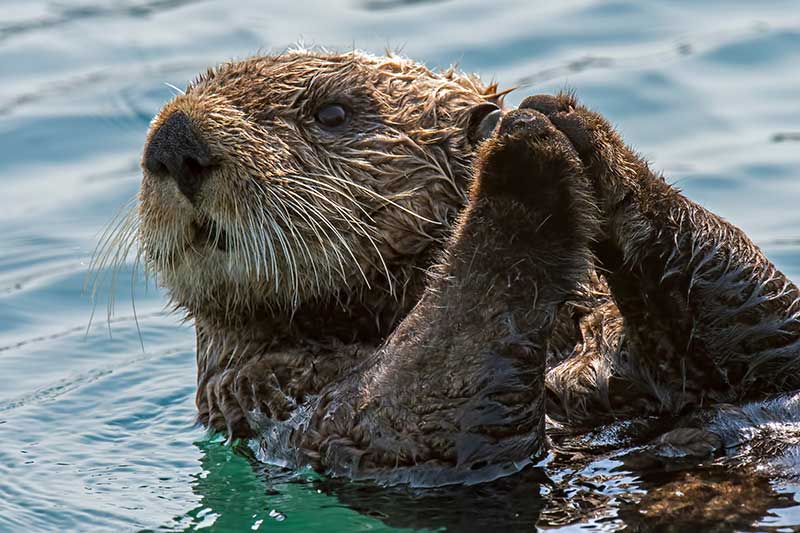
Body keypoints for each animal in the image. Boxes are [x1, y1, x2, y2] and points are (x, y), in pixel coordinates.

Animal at [113, 49, 800, 486]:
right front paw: (521, 157)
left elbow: (767, 326)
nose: (173, 141)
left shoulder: (749, 345)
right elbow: (410, 407)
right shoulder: (277, 402)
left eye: (331, 112)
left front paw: (572, 125)